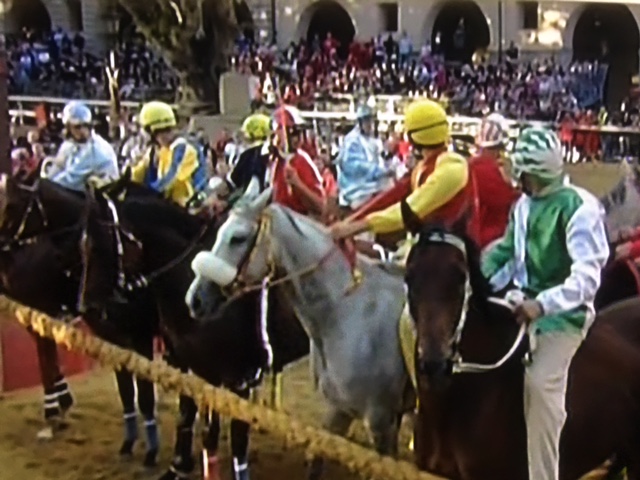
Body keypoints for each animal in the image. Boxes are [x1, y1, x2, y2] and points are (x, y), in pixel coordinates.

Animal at [188, 180, 412, 480]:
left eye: (238, 238)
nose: (195, 299)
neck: (350, 311)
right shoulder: (339, 409)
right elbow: (316, 460)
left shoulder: (380, 419)